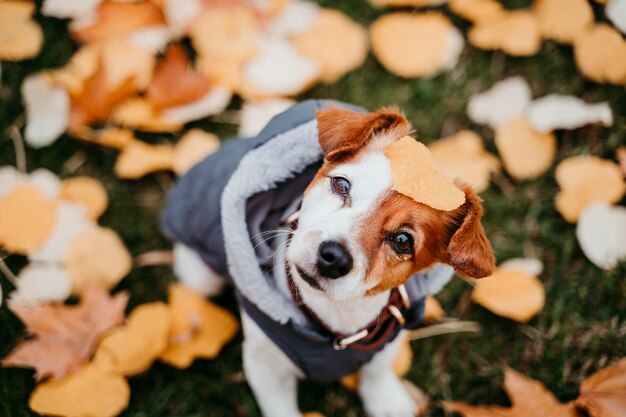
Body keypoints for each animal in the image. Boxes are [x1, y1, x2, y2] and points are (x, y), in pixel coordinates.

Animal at [163, 100, 494, 416]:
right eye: (341, 184)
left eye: (403, 241)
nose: (333, 257)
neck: (336, 314)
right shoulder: (266, 367)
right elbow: (281, 410)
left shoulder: (391, 332)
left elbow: (377, 370)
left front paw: (385, 399)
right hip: (201, 275)